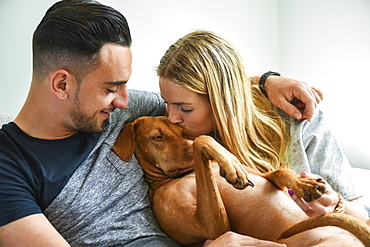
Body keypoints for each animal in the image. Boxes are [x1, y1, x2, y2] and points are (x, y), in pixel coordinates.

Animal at [112, 116, 370, 247]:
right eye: (158, 137)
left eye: (183, 133)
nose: (188, 145)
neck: (186, 173)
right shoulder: (212, 228)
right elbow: (203, 140)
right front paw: (230, 165)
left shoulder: (267, 178)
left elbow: (281, 171)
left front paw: (304, 185)